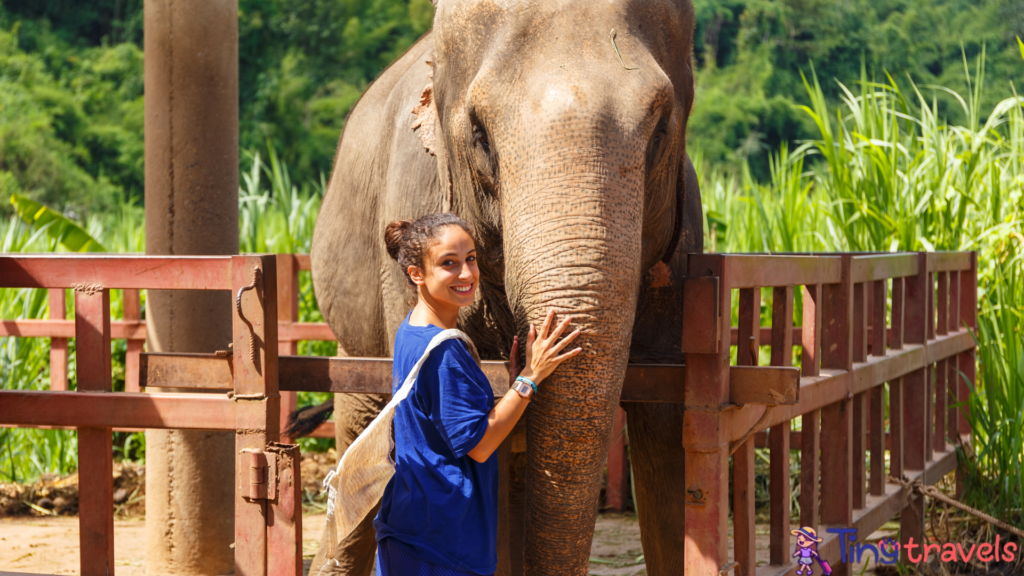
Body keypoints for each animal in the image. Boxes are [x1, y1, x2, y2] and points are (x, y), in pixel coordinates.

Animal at [305, 2, 704, 569]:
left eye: (662, 126)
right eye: (480, 135)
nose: (535, 339)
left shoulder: (683, 253)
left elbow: (667, 440)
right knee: (359, 418)